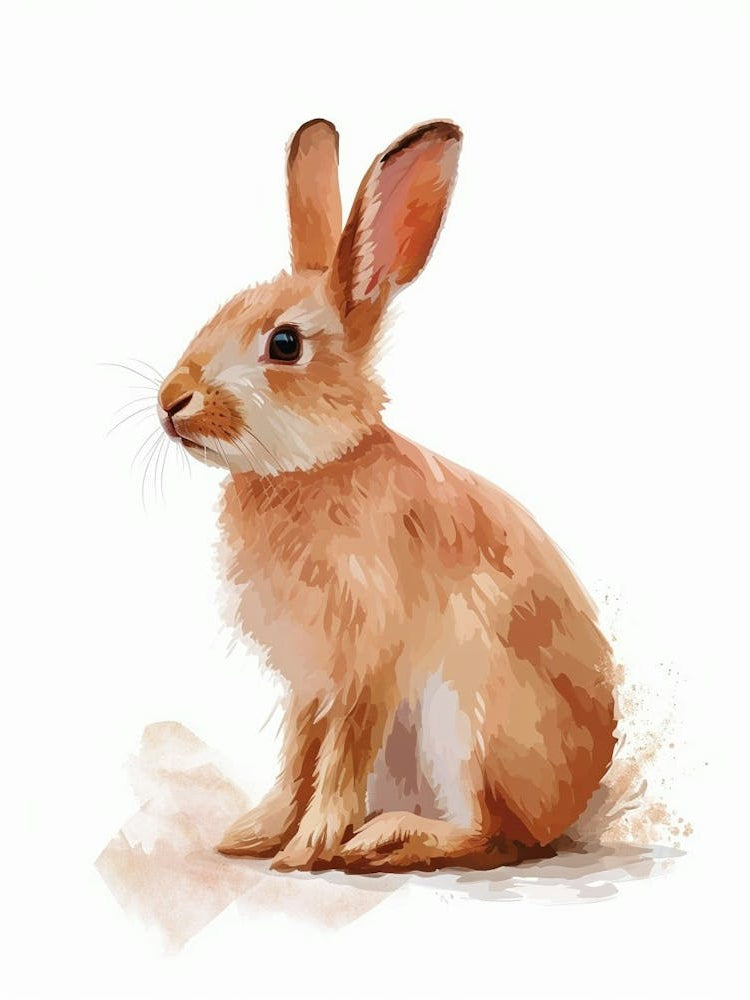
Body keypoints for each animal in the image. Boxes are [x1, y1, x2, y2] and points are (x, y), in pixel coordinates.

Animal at [156, 118, 617, 873]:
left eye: (285, 344)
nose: (171, 403)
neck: (314, 468)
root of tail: (577, 808)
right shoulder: (308, 684)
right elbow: (299, 757)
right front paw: (255, 835)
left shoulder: (366, 663)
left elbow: (341, 758)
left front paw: (308, 848)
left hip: (468, 717)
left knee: (488, 834)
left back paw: (384, 838)